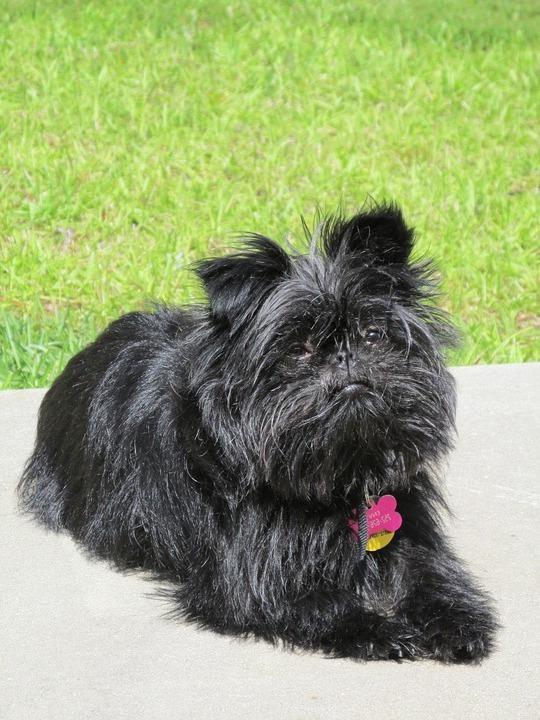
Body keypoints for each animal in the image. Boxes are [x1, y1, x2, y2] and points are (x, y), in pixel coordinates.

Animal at [19, 203, 497, 662]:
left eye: (373, 334)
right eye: (299, 349)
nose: (344, 356)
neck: (335, 470)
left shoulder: (410, 529)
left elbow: (431, 576)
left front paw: (456, 619)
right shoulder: (250, 580)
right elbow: (317, 602)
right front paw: (380, 630)